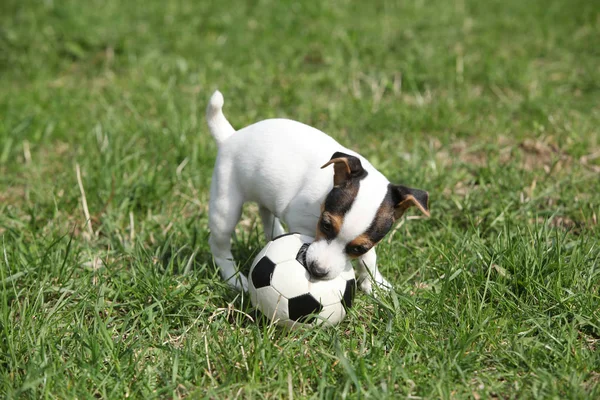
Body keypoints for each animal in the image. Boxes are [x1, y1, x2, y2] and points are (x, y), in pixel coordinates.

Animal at [205, 91, 426, 294]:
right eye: (326, 225)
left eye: (358, 248)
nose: (318, 271)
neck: (326, 194)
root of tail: (230, 136)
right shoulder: (300, 221)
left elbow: (369, 258)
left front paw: (375, 283)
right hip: (225, 207)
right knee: (219, 246)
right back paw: (235, 279)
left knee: (267, 218)